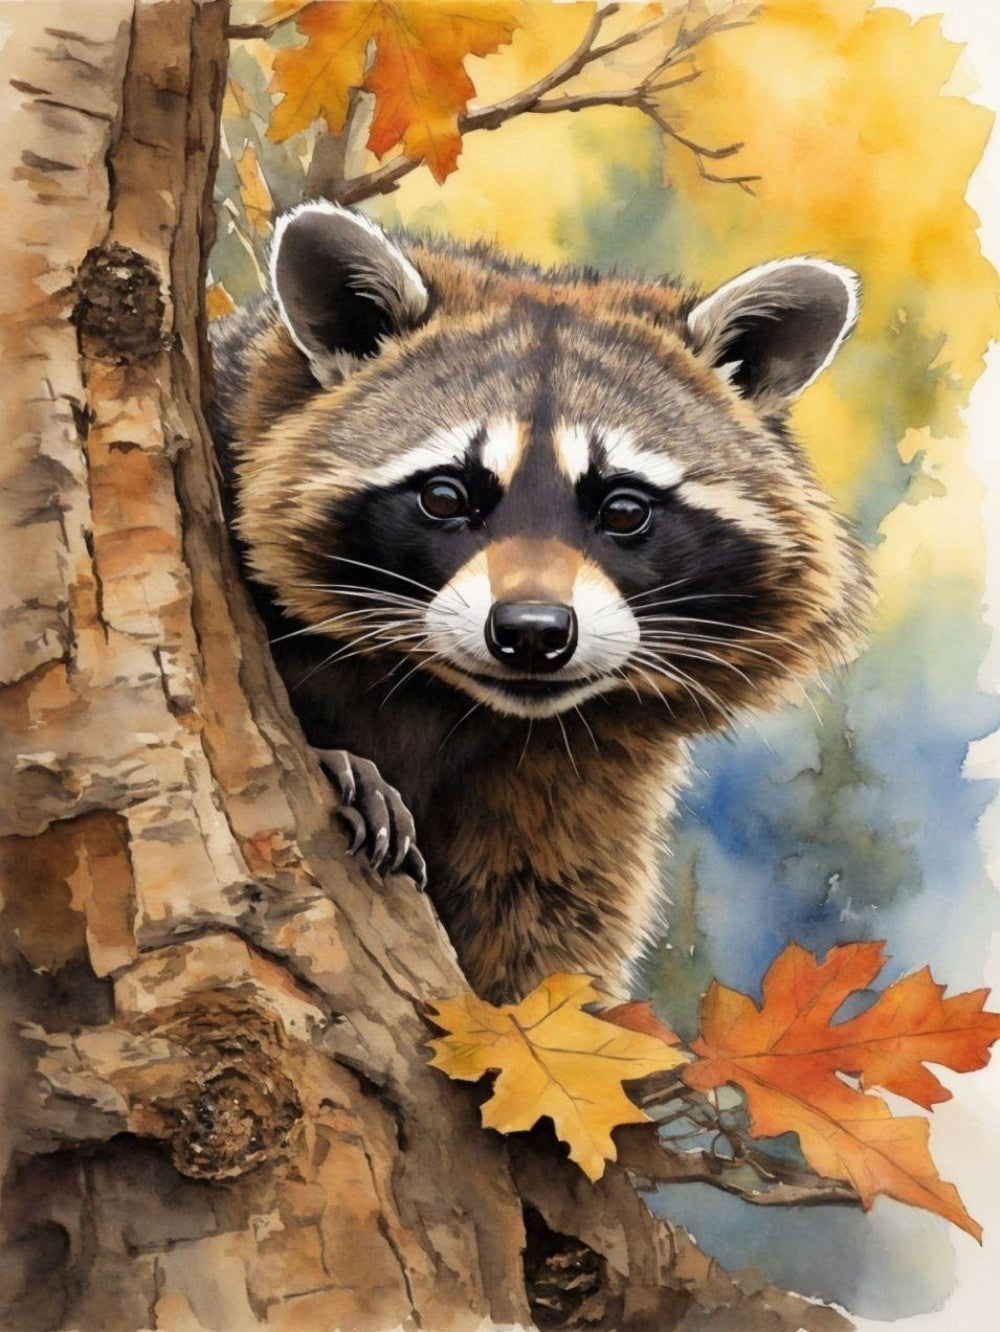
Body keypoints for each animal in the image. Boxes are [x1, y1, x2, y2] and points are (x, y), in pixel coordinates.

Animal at [210, 202, 867, 1004]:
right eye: (445, 496)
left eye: (624, 509)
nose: (531, 632)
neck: (447, 699)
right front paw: (340, 758)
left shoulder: (583, 772)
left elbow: (546, 924)